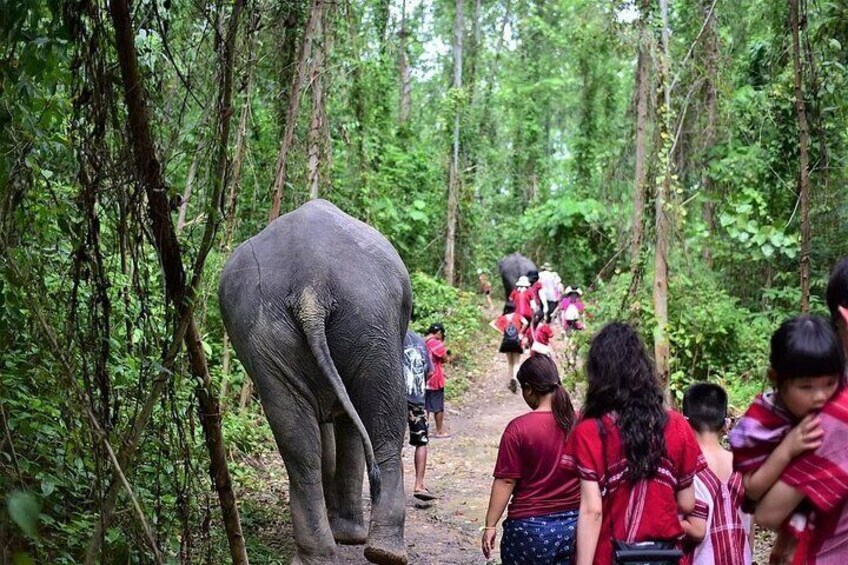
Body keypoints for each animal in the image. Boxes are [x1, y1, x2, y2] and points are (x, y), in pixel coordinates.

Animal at [217, 199, 412, 564]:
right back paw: (382, 550)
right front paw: (348, 535)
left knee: (297, 443)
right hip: (370, 319)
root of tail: (310, 286)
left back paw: (319, 555)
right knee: (385, 423)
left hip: (266, 332)